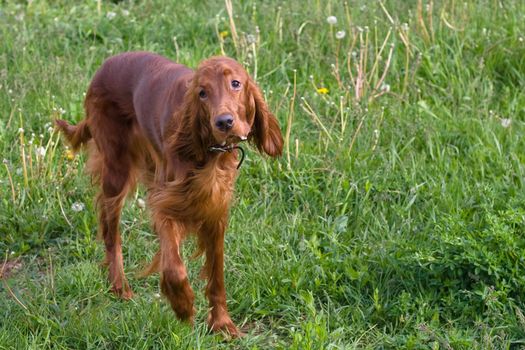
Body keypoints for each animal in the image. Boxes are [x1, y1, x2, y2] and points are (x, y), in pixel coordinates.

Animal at [56, 52, 282, 336]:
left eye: (236, 84)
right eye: (202, 93)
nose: (224, 122)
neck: (208, 153)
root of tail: (106, 64)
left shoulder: (215, 212)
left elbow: (217, 274)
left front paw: (222, 324)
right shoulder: (165, 206)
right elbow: (174, 267)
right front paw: (183, 305)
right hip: (116, 171)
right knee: (110, 232)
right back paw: (119, 286)